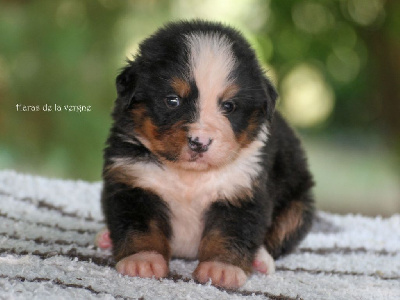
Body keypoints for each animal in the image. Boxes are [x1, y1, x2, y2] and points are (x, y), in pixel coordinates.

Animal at [97, 19, 316, 290]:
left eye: (229, 106)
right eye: (173, 100)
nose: (199, 142)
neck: (190, 176)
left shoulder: (241, 190)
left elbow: (230, 233)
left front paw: (222, 269)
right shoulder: (134, 182)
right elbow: (141, 227)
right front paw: (142, 260)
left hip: (298, 206)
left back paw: (260, 260)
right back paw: (106, 237)